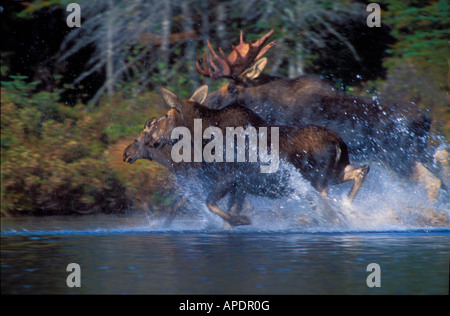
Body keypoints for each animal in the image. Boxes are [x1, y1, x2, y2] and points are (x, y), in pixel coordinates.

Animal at [124, 85, 370, 226]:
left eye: (166, 116)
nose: (152, 139)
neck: (203, 139)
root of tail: (339, 143)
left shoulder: (229, 179)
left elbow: (211, 205)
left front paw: (243, 220)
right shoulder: (239, 186)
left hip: (318, 180)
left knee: (328, 205)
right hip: (335, 173)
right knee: (361, 170)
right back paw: (347, 209)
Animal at [199, 30, 444, 201]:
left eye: (232, 88)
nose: (207, 101)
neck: (269, 104)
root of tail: (426, 119)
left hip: (399, 156)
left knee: (432, 182)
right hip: (419, 152)